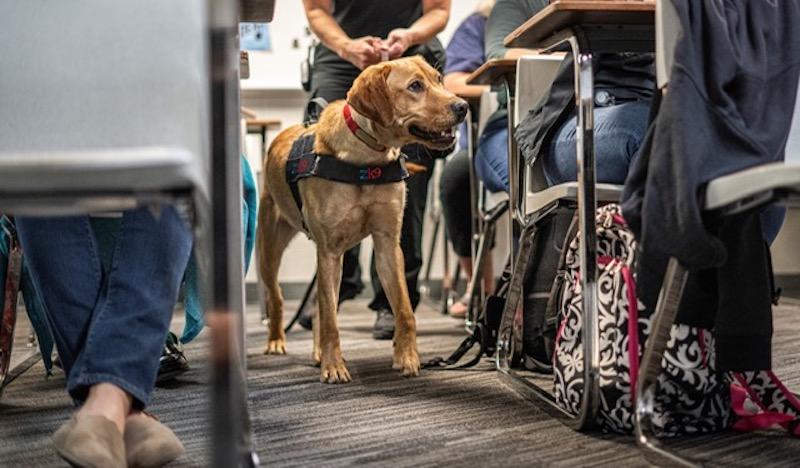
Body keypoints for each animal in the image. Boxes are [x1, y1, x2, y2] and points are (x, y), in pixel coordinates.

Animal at [256, 55, 468, 384]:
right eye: (415, 86)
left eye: (438, 79)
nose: (462, 106)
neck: (368, 158)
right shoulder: (329, 251)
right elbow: (331, 320)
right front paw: (334, 366)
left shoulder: (387, 245)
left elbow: (404, 310)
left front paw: (407, 357)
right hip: (271, 246)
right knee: (279, 297)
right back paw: (277, 340)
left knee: (318, 304)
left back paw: (317, 352)